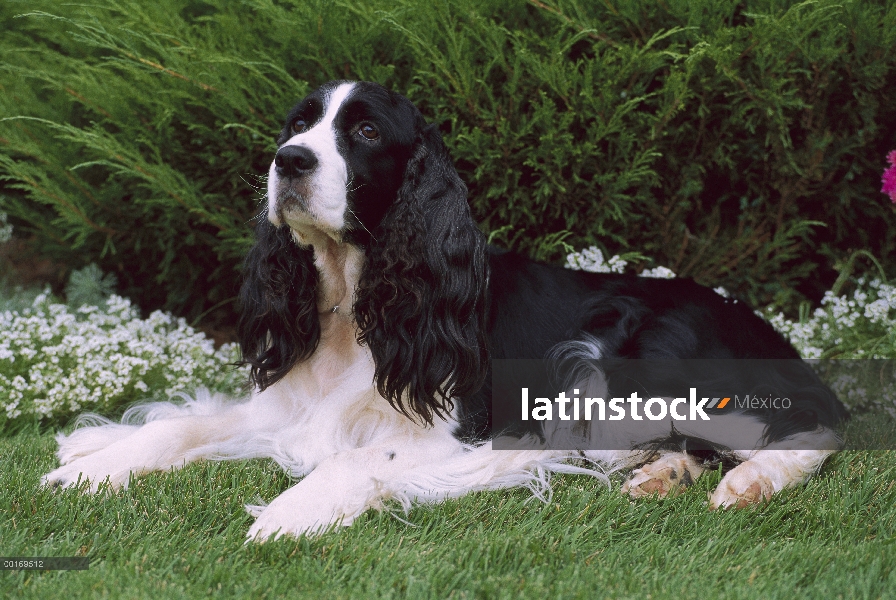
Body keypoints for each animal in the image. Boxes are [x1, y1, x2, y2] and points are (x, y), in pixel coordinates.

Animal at [42, 81, 848, 540]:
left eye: (366, 132)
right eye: (297, 125)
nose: (289, 160)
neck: (355, 308)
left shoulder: (467, 427)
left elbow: (361, 458)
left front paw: (289, 513)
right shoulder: (286, 406)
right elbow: (180, 426)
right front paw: (90, 464)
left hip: (641, 364)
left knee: (820, 424)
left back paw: (747, 483)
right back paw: (661, 475)